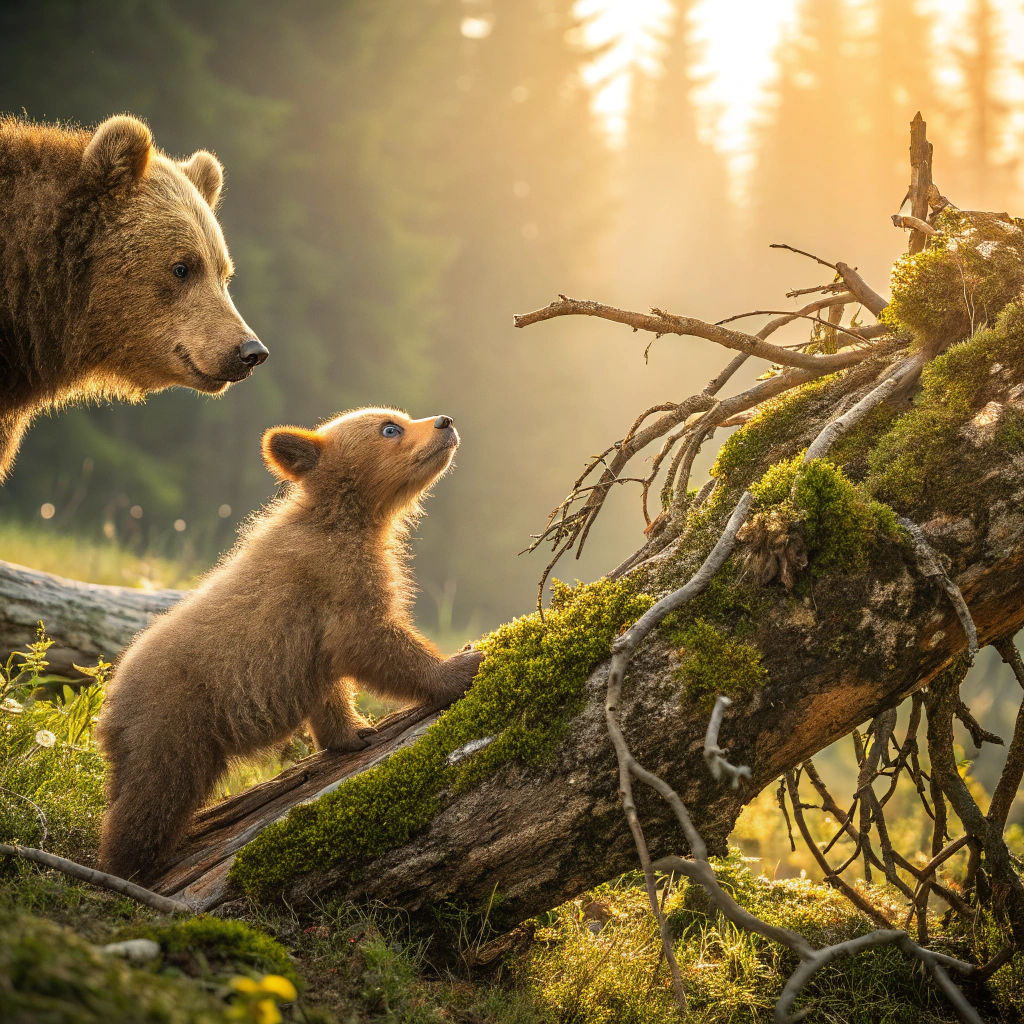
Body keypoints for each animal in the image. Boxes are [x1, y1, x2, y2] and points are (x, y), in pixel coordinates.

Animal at [96, 407, 483, 883]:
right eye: (390, 427)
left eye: (403, 417)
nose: (445, 422)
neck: (350, 518)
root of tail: (111, 697)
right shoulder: (334, 576)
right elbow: (368, 640)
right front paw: (460, 665)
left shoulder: (314, 634)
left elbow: (332, 683)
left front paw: (354, 731)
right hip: (173, 720)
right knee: (155, 795)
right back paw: (129, 867)